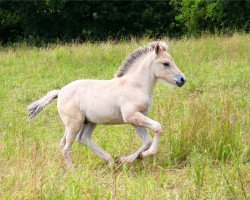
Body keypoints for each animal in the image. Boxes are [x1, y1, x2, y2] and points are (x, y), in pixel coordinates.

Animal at [28, 40, 187, 169]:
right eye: (165, 63)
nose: (182, 79)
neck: (136, 85)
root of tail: (60, 92)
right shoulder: (132, 116)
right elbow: (158, 128)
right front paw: (133, 158)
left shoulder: (136, 118)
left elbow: (147, 140)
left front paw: (127, 159)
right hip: (75, 123)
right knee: (67, 147)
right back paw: (74, 172)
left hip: (88, 122)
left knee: (81, 139)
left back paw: (110, 161)